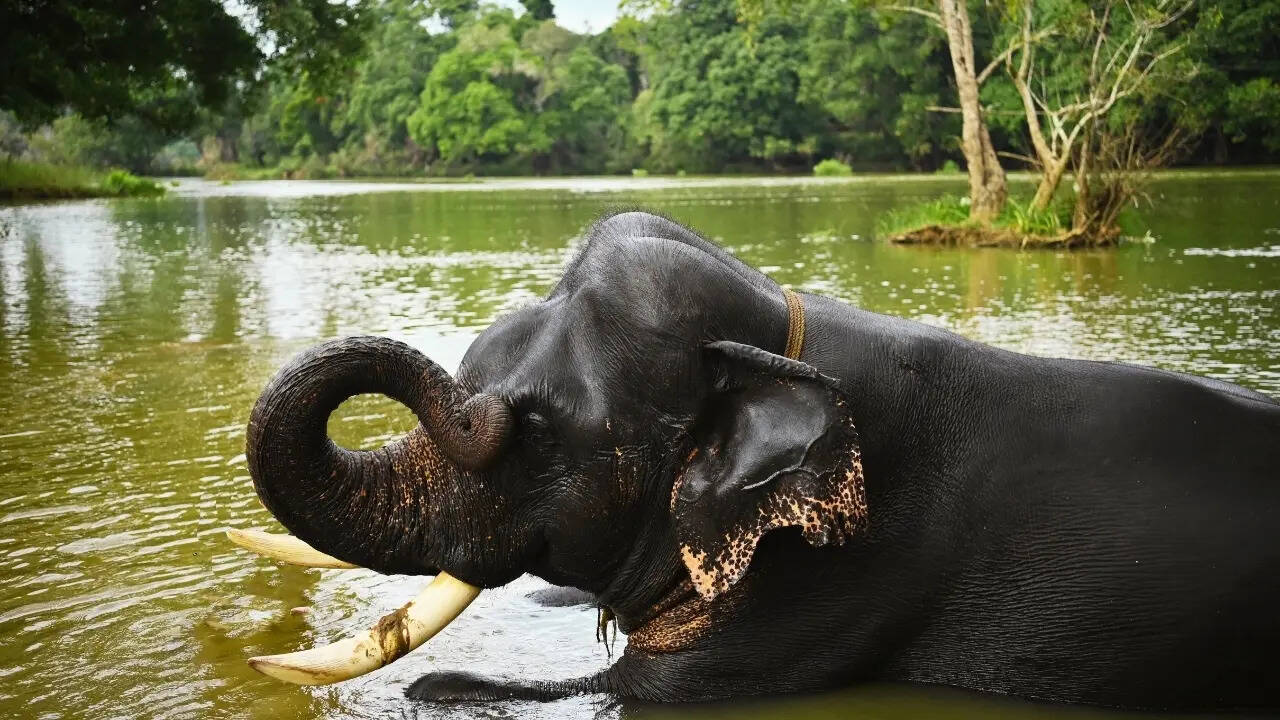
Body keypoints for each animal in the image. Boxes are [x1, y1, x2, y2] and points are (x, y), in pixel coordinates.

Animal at [235, 210, 1280, 711]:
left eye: (533, 433)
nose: (480, 405)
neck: (778, 335)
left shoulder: (843, 572)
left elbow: (637, 693)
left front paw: (434, 688)